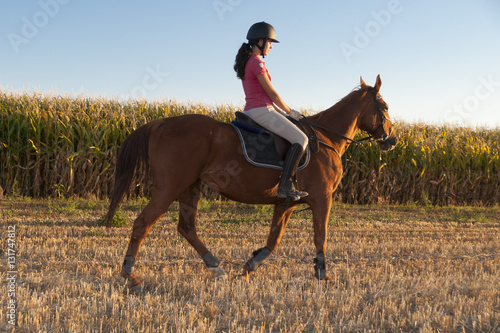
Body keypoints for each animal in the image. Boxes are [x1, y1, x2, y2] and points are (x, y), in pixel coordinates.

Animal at [107, 75, 396, 288]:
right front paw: (323, 274)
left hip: (190, 187)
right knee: (143, 223)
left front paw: (248, 268)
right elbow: (320, 236)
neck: (326, 139)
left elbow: (273, 241)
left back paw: (217, 267)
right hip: (170, 187)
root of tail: (161, 123)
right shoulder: (322, 198)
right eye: (384, 107)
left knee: (186, 228)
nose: (392, 140)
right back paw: (130, 275)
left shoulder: (285, 203)